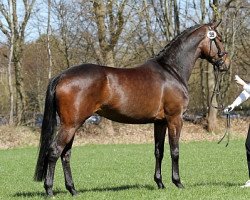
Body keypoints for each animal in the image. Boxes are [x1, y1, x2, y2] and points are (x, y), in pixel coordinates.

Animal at [34, 21, 229, 196]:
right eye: (218, 39)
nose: (226, 63)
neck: (171, 71)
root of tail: (62, 76)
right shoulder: (175, 119)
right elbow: (175, 151)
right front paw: (178, 182)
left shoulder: (160, 122)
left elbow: (159, 151)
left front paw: (160, 183)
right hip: (70, 125)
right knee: (54, 152)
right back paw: (49, 190)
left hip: (73, 125)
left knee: (65, 155)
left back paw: (73, 190)